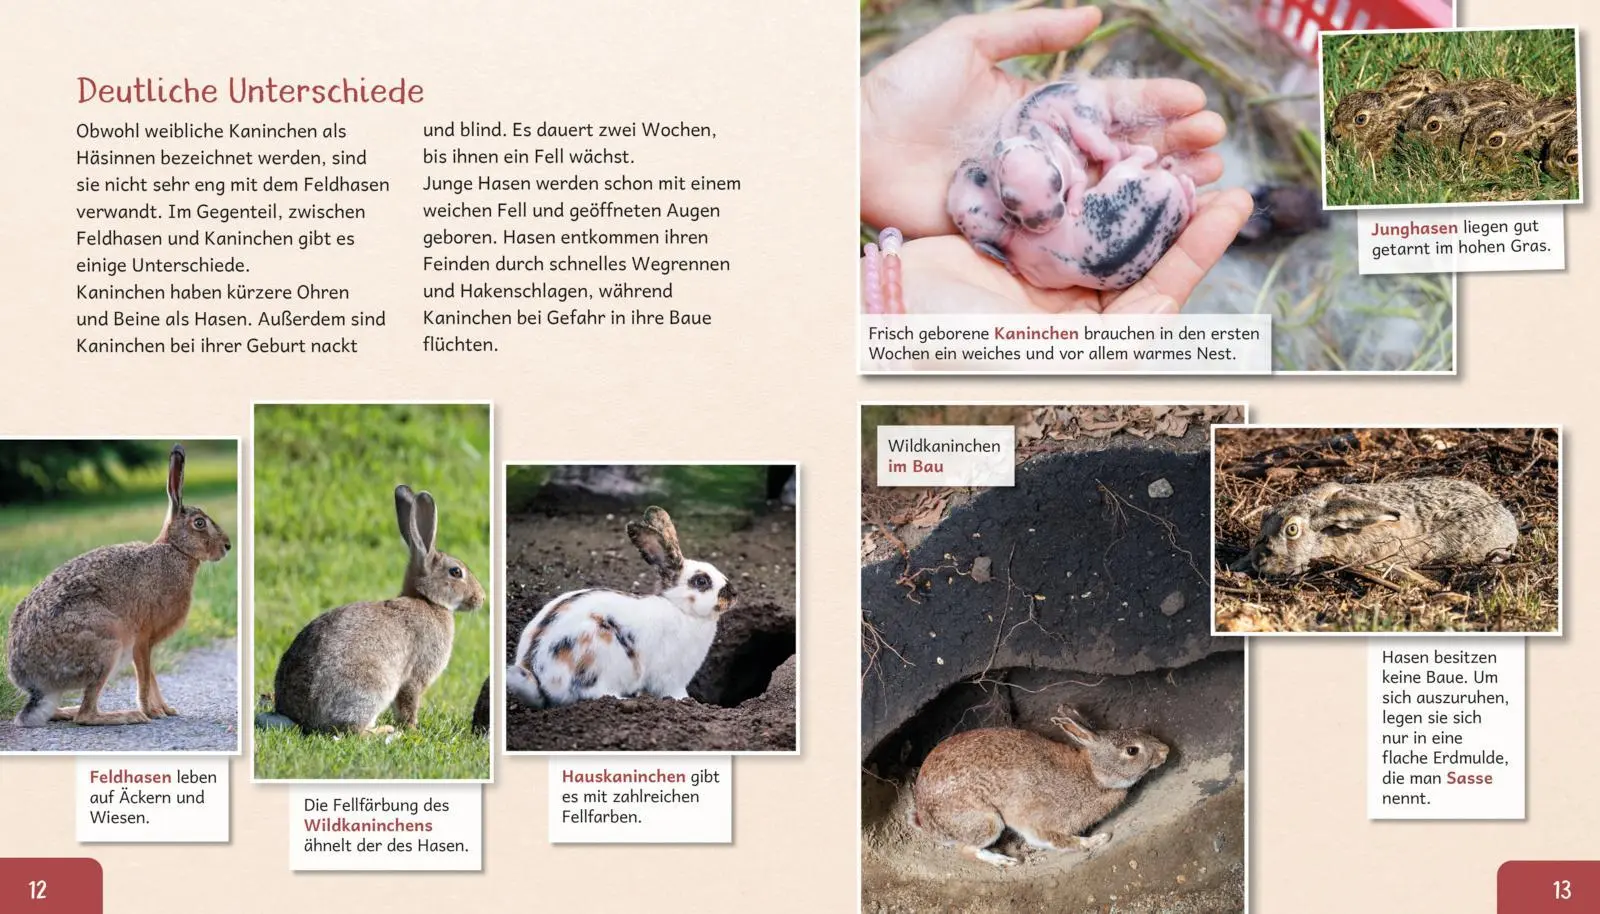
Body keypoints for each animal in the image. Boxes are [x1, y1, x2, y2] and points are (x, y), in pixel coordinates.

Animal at [7, 444, 232, 727]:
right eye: (200, 523)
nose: (227, 546)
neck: (176, 550)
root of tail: (33, 682)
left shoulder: (145, 644)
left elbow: (151, 676)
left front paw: (166, 710)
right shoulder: (142, 638)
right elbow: (145, 678)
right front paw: (151, 712)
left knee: (66, 711)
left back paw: (70, 711)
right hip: (107, 643)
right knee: (86, 715)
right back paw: (129, 715)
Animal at [258, 485, 484, 734]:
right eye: (456, 572)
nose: (481, 598)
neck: (428, 600)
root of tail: (299, 719)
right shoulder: (415, 675)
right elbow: (408, 703)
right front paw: (413, 730)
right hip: (371, 687)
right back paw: (383, 731)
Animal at [507, 506, 736, 709]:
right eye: (701, 581)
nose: (734, 595)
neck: (680, 608)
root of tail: (539, 679)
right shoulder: (671, 676)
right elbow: (674, 692)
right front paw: (688, 702)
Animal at [911, 713, 1170, 867]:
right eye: (1132, 750)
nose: (1165, 751)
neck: (1093, 776)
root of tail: (926, 822)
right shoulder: (1039, 824)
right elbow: (1058, 840)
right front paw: (1097, 840)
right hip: (986, 822)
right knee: (966, 849)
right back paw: (1005, 862)